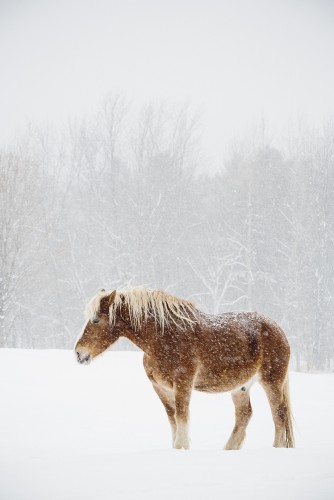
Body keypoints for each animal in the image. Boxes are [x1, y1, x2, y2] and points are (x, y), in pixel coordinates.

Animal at [75, 288, 294, 452]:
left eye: (96, 320)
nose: (79, 353)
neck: (163, 337)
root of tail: (278, 329)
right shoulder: (161, 387)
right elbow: (172, 416)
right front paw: (177, 448)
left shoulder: (183, 382)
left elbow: (181, 415)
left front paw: (182, 448)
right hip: (241, 387)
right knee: (244, 416)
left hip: (272, 381)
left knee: (279, 414)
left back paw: (276, 449)